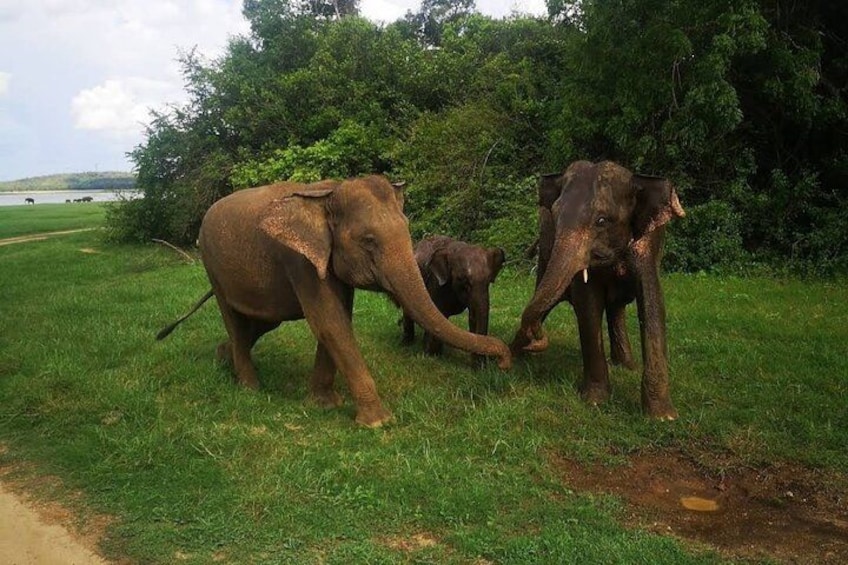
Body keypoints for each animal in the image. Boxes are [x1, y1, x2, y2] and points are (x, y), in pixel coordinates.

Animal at [401, 235, 505, 364]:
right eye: (463, 280)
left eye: (489, 280)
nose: (483, 364)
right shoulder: (436, 284)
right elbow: (438, 315)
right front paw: (431, 356)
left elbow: (474, 316)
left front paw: (478, 366)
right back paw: (406, 343)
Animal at [512, 160, 685, 420]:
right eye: (555, 215)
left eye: (602, 221)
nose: (538, 341)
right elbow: (588, 304)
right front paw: (595, 401)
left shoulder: (648, 246)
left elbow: (652, 303)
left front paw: (663, 417)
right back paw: (510, 356)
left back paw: (626, 366)